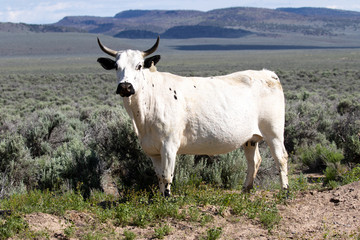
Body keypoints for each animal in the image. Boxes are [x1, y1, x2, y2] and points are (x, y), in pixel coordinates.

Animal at [97, 36, 288, 196]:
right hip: (250, 138)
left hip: (274, 132)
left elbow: (167, 175)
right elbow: (159, 176)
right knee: (254, 161)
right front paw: (159, 198)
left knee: (281, 157)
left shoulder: (169, 145)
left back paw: (284, 191)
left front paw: (167, 199)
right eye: (116, 66)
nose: (125, 86)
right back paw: (246, 190)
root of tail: (267, 73)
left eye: (139, 65)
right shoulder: (152, 150)